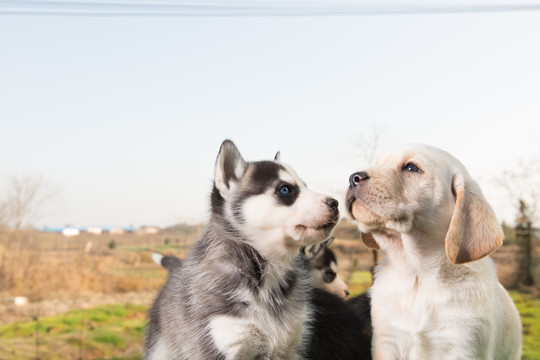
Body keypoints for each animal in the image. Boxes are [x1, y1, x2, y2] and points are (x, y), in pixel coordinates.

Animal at [346, 144, 524, 360]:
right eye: (377, 164)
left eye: (411, 168)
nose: (353, 177)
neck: (417, 274)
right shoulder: (387, 341)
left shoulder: (462, 347)